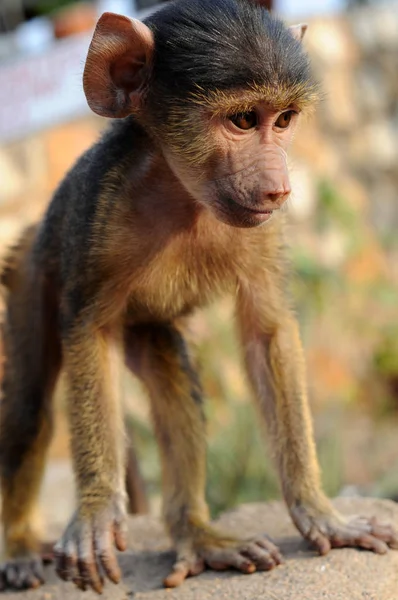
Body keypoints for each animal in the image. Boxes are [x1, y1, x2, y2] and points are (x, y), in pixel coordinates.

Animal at [0, 0, 396, 592]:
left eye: (283, 120)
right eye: (243, 120)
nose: (280, 187)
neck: (183, 193)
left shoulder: (264, 231)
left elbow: (267, 333)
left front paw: (319, 512)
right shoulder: (101, 208)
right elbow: (89, 331)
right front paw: (95, 510)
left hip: (141, 322)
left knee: (171, 373)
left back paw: (197, 536)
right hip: (28, 266)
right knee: (29, 407)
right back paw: (20, 545)